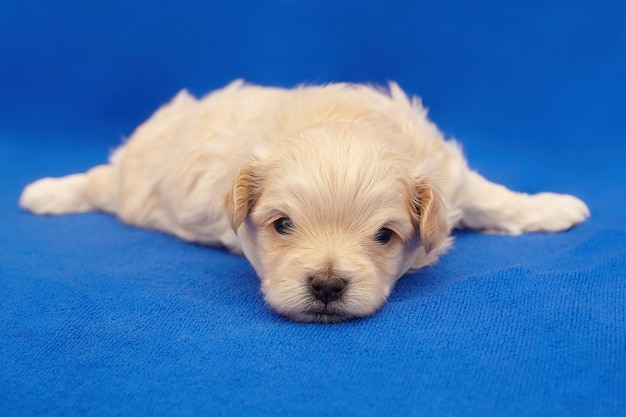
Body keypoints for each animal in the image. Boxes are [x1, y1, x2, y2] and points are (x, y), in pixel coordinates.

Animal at [18, 81, 584, 322]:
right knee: (98, 180)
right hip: (131, 183)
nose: (327, 286)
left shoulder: (453, 177)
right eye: (282, 225)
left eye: (385, 235)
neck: (342, 122)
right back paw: (43, 194)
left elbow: (494, 198)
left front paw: (554, 207)